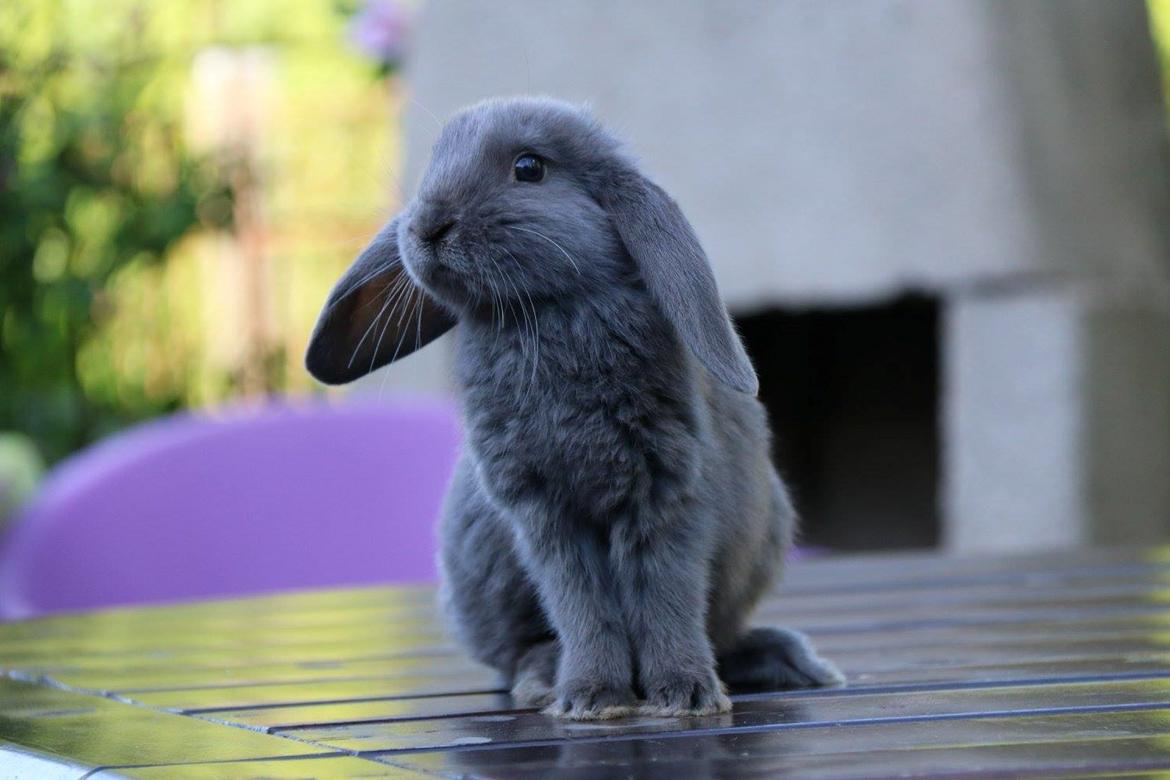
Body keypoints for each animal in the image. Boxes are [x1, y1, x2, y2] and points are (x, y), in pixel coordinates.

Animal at [306, 94, 847, 715]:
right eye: (433, 161)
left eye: (529, 168)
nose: (426, 226)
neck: (547, 313)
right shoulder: (544, 513)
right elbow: (582, 605)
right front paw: (595, 699)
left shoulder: (665, 497)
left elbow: (666, 598)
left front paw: (685, 695)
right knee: (516, 653)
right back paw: (544, 676)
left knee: (723, 632)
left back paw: (794, 664)